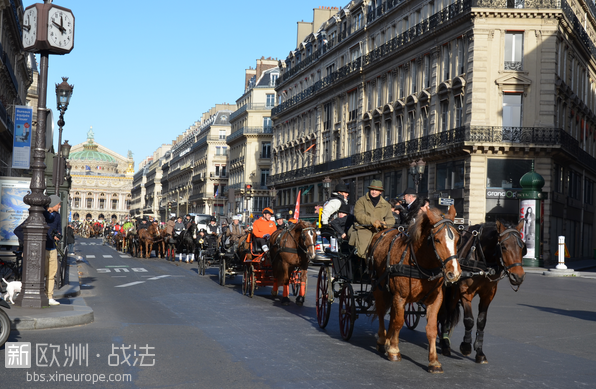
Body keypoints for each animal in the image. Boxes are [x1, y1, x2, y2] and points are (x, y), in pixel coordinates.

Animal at [370, 206, 464, 372]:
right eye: (437, 239)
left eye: (458, 240)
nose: (454, 273)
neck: (420, 263)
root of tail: (382, 232)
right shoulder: (400, 296)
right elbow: (399, 322)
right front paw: (394, 350)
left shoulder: (436, 299)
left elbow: (431, 328)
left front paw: (434, 361)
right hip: (379, 288)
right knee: (381, 312)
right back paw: (382, 340)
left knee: (392, 315)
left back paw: (388, 340)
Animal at [438, 220, 528, 362]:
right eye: (503, 247)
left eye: (522, 247)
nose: (518, 276)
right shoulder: (465, 292)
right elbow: (469, 319)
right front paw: (466, 346)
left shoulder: (488, 294)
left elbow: (481, 321)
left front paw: (479, 351)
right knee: (445, 313)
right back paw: (445, 344)